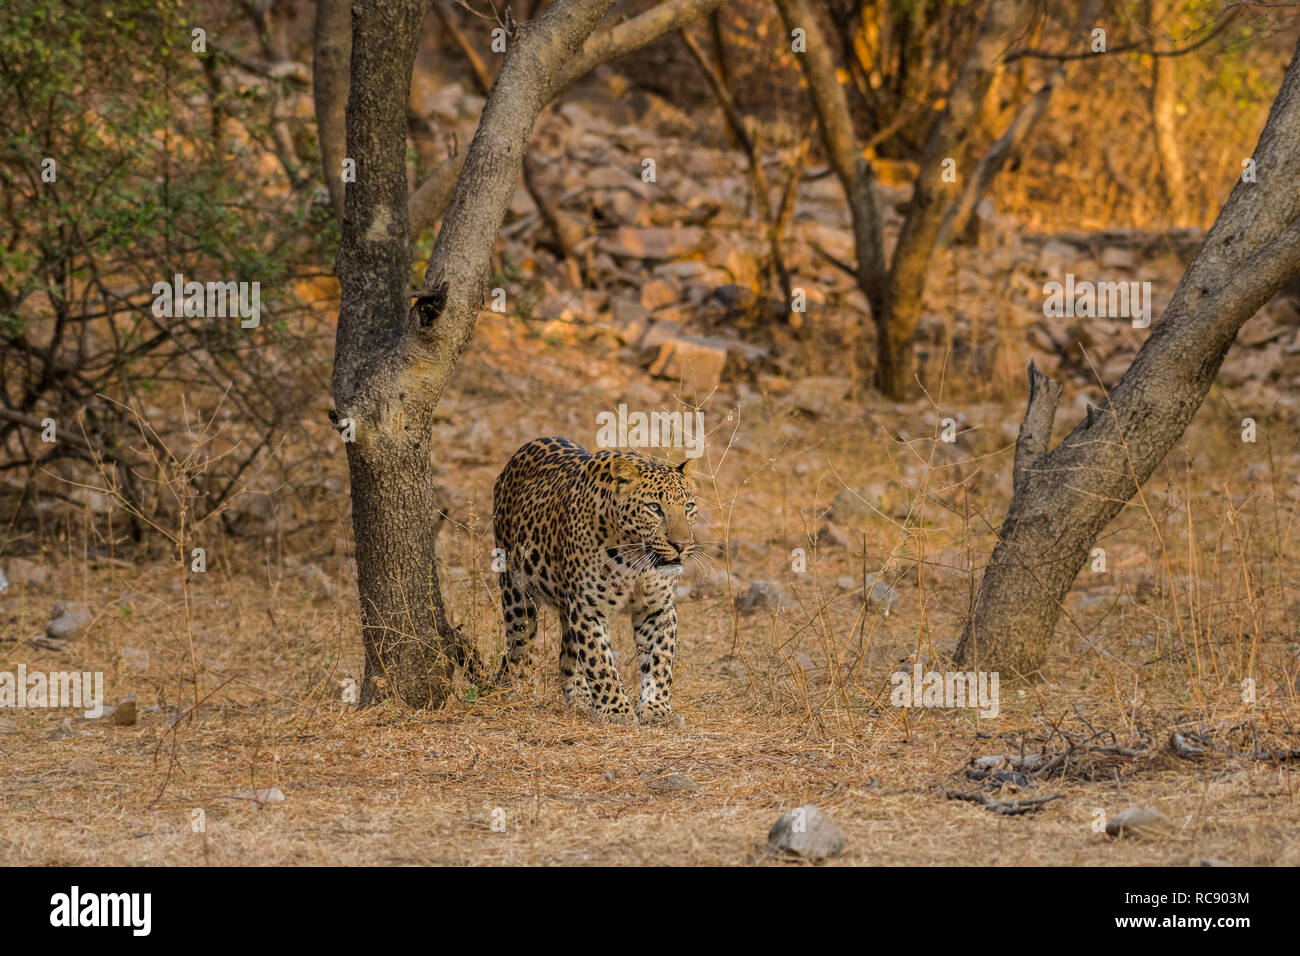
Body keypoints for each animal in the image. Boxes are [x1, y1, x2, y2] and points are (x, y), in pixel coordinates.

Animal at [490, 436, 699, 725]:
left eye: (688, 507)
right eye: (654, 508)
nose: (681, 545)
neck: (636, 560)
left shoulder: (658, 608)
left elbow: (660, 661)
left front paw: (656, 709)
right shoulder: (588, 608)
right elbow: (600, 662)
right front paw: (617, 711)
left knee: (567, 658)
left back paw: (581, 700)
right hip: (516, 589)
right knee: (519, 645)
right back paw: (519, 691)